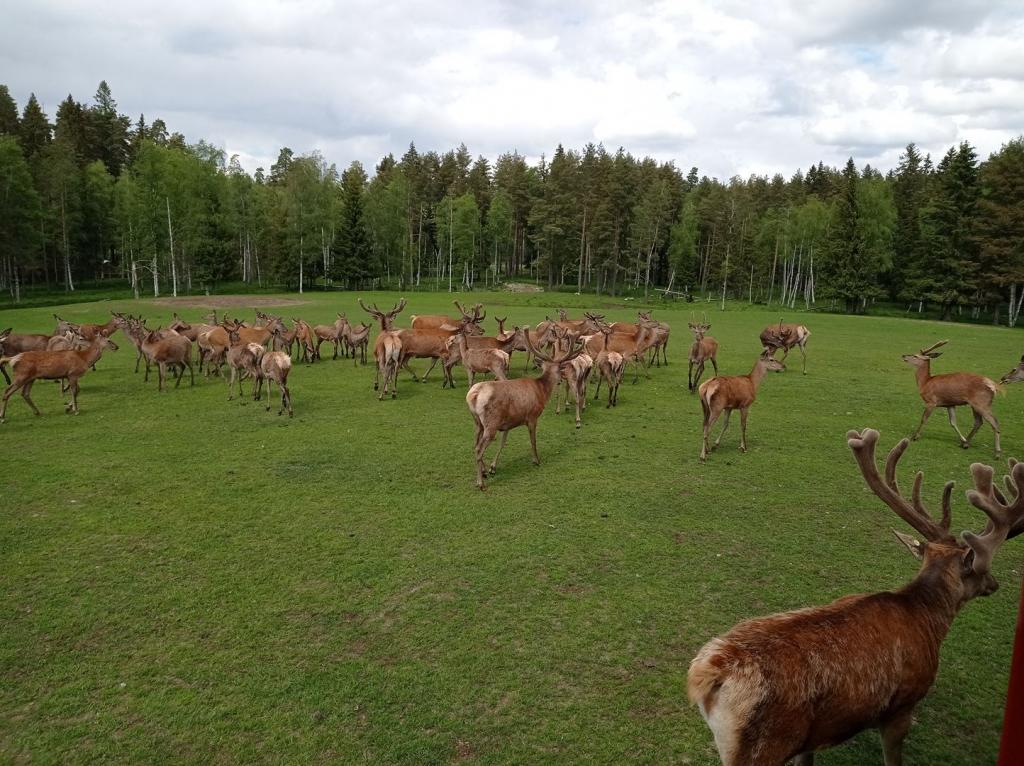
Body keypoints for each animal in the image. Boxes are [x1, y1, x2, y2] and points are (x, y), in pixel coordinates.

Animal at [466, 335, 585, 491]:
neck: (542, 391)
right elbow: (533, 440)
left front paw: (492, 468)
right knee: (479, 449)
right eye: (560, 369)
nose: (560, 381)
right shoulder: (533, 416)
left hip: (478, 423)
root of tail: (474, 395)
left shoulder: (508, 422)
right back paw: (480, 483)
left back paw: (484, 472)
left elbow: (503, 443)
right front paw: (536, 460)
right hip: (491, 423)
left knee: (474, 445)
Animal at [688, 430, 1024, 766]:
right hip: (763, 749)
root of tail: (708, 673)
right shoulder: (902, 706)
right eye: (983, 569)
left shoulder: (812, 738)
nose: (994, 584)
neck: (929, 622)